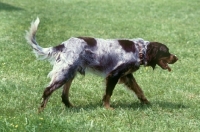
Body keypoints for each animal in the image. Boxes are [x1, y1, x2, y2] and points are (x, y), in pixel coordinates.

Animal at [25, 17, 178, 112]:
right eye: (167, 52)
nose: (176, 58)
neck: (139, 50)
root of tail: (63, 45)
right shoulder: (114, 75)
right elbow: (108, 94)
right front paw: (108, 108)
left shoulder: (127, 76)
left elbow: (139, 91)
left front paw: (148, 103)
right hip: (64, 73)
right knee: (47, 91)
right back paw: (40, 112)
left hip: (70, 73)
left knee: (64, 95)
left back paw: (71, 106)